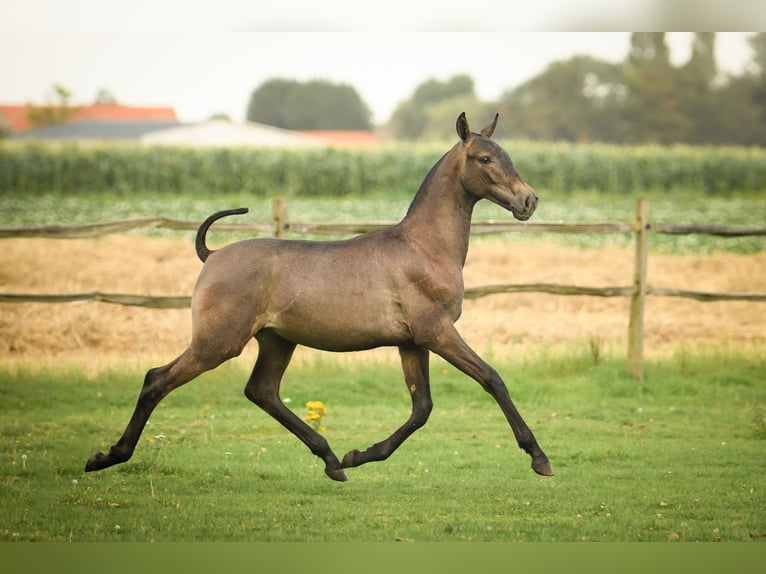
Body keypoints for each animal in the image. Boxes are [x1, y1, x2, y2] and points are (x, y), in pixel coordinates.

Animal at [85, 112, 552, 482]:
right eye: (485, 159)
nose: (529, 200)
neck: (424, 247)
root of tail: (212, 255)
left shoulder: (412, 342)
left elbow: (421, 408)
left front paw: (360, 454)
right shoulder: (437, 332)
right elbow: (492, 379)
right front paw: (539, 457)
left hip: (276, 341)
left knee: (262, 391)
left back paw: (331, 459)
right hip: (218, 343)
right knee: (157, 379)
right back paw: (107, 457)